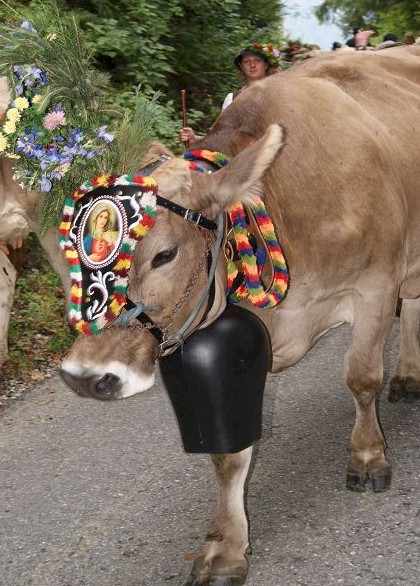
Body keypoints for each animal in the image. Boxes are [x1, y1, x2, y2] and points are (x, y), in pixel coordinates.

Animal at [60, 44, 420, 585]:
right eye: (76, 260)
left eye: (165, 255)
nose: (84, 376)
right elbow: (228, 456)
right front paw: (226, 548)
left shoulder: (376, 285)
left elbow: (361, 379)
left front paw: (368, 456)